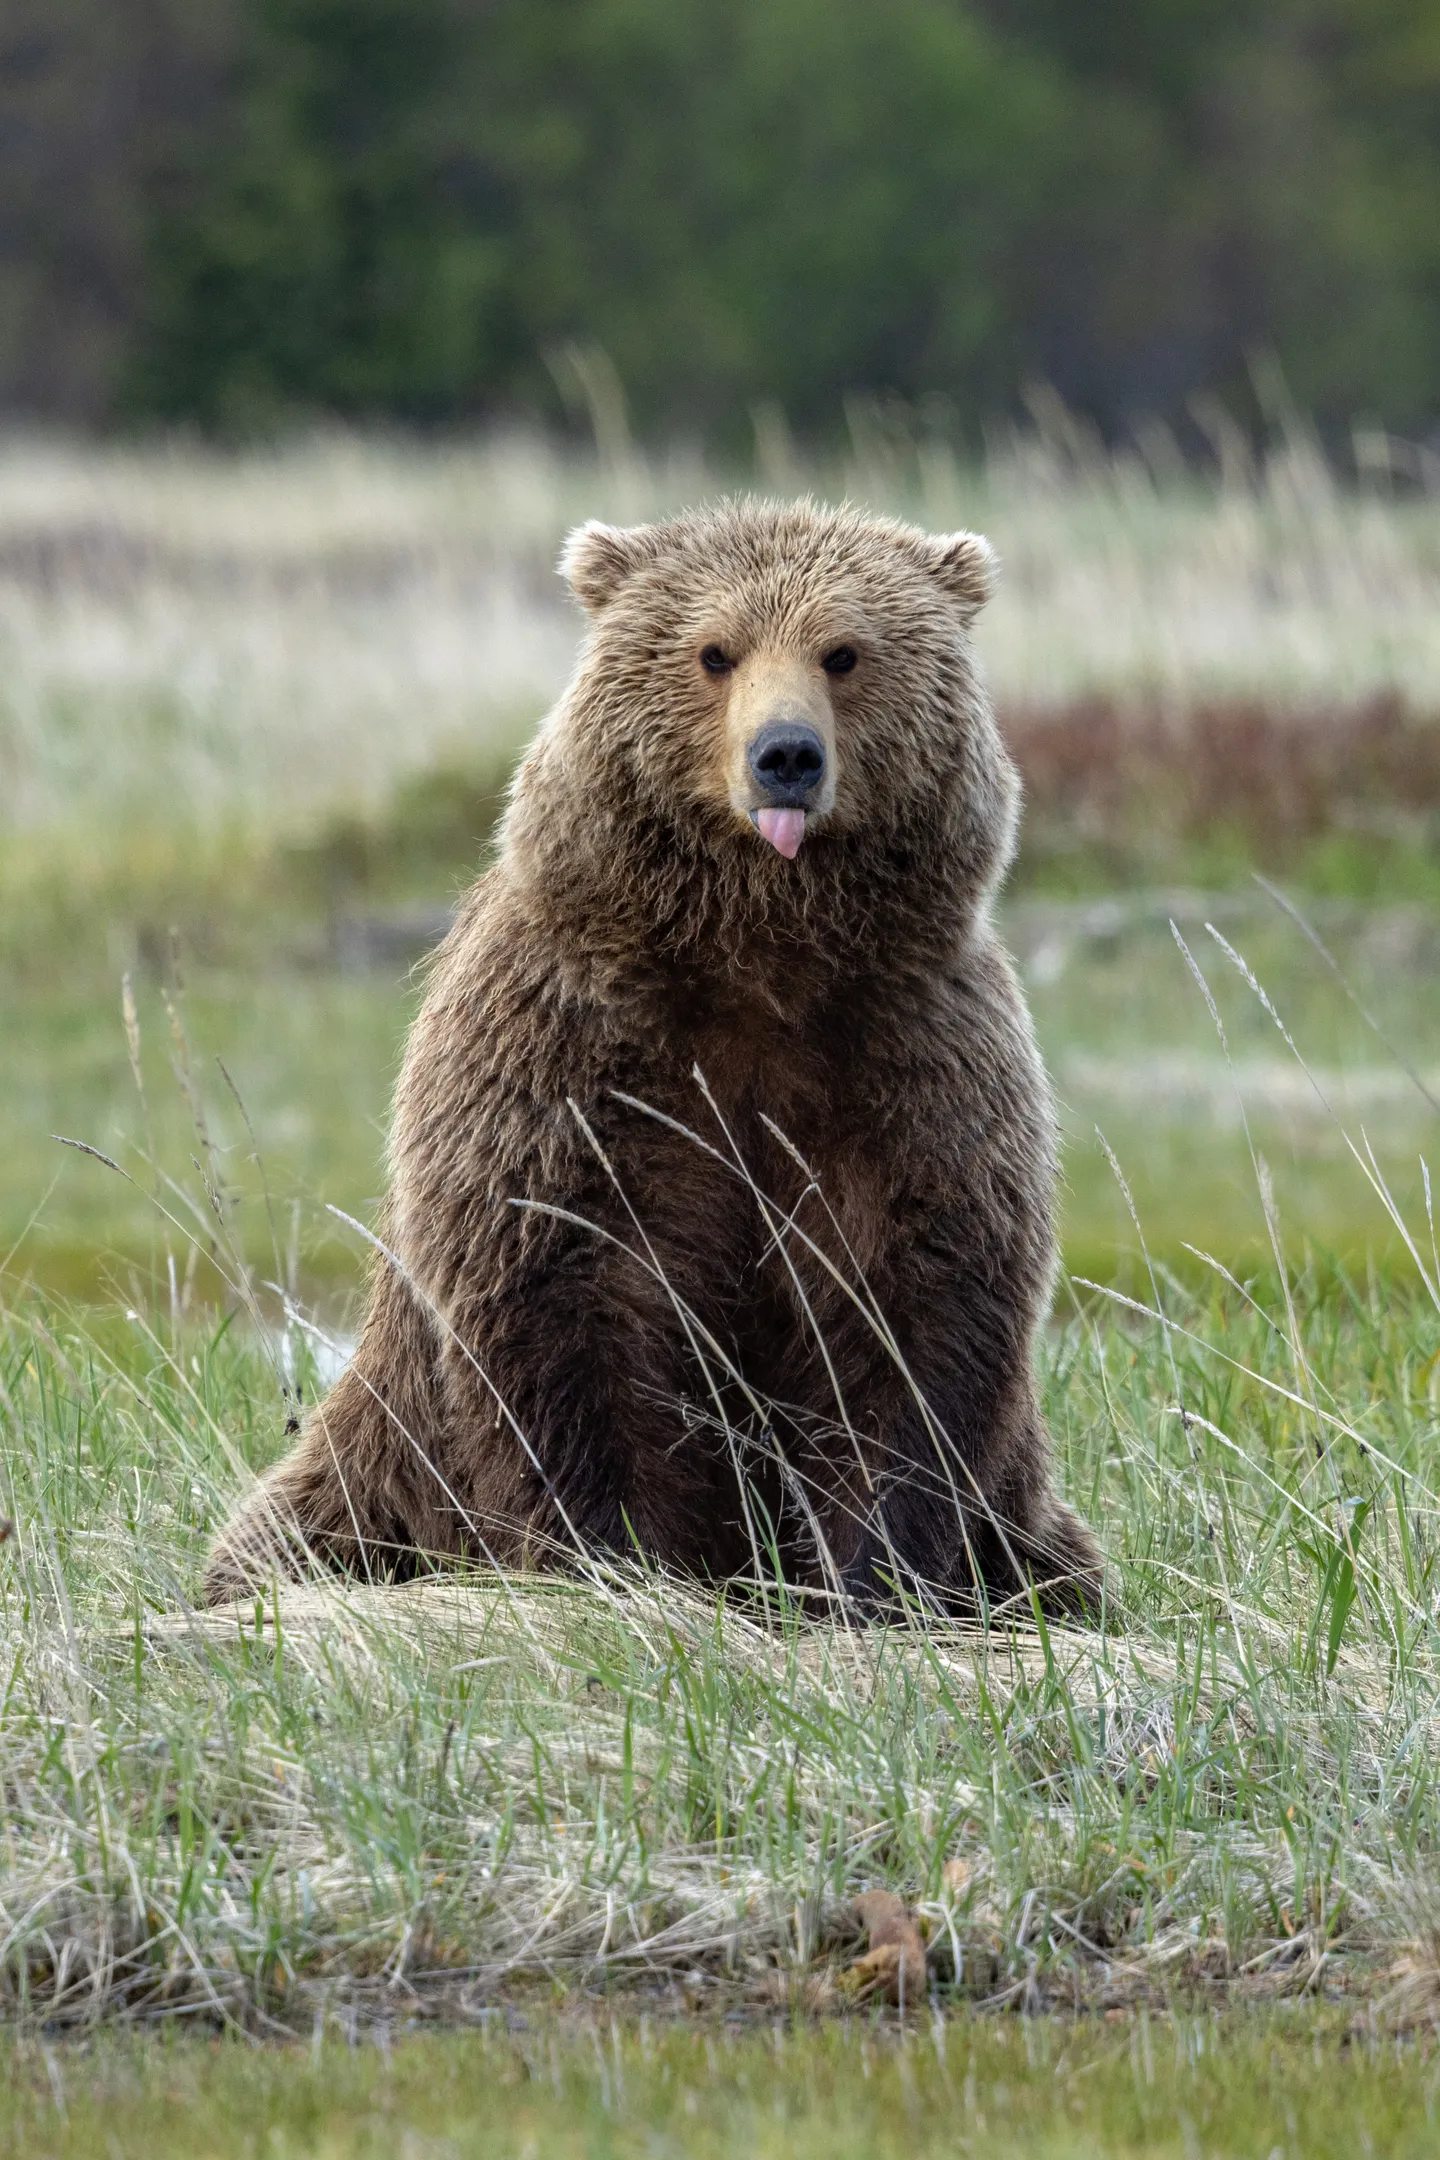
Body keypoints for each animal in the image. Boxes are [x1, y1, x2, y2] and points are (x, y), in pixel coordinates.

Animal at [203, 498, 1101, 1616]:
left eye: (844, 652)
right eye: (714, 651)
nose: (786, 754)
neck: (757, 957)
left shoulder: (910, 1053)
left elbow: (913, 1309)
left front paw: (867, 1579)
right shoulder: (570, 1056)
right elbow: (566, 1303)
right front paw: (618, 1559)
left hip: (1031, 1515)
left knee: (1061, 1564)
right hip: (382, 1458)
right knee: (292, 1538)